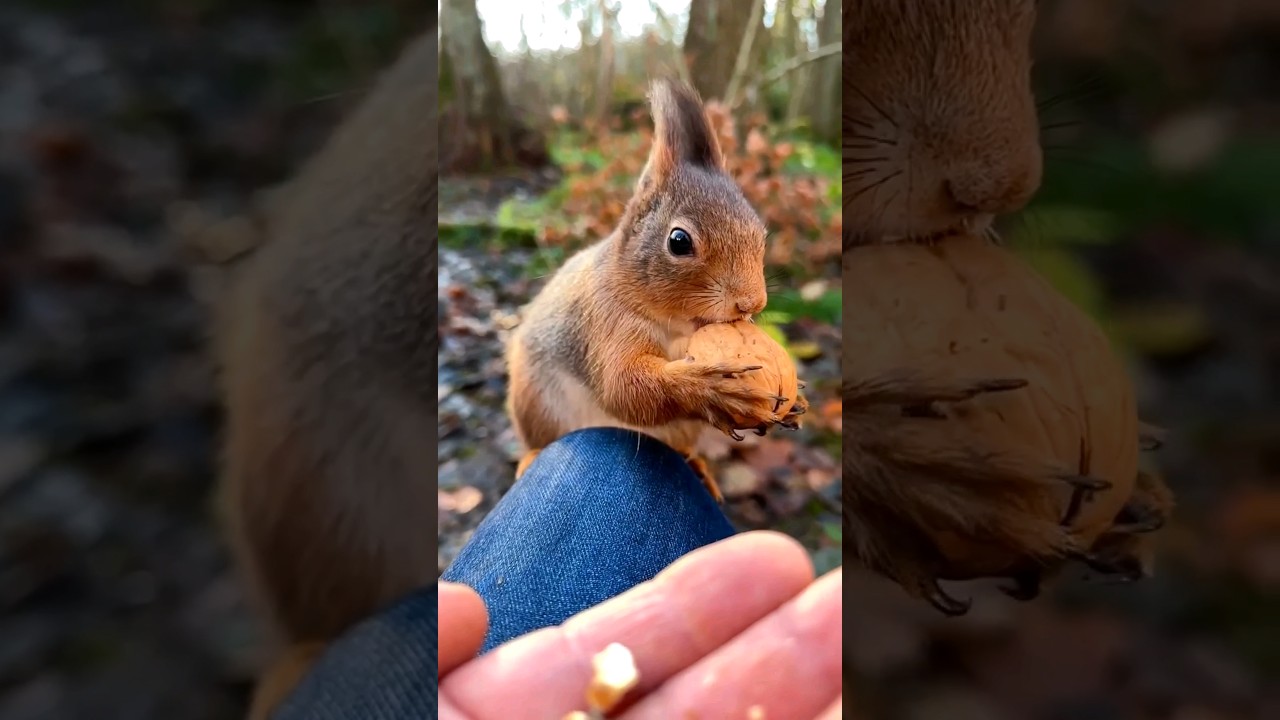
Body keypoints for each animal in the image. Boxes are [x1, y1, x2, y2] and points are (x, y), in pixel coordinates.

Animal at [505, 79, 806, 503]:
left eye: (761, 234)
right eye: (679, 241)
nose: (752, 302)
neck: (678, 328)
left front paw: (799, 399)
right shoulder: (605, 321)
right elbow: (624, 387)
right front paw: (713, 388)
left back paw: (698, 468)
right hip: (535, 401)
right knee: (537, 438)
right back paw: (531, 457)